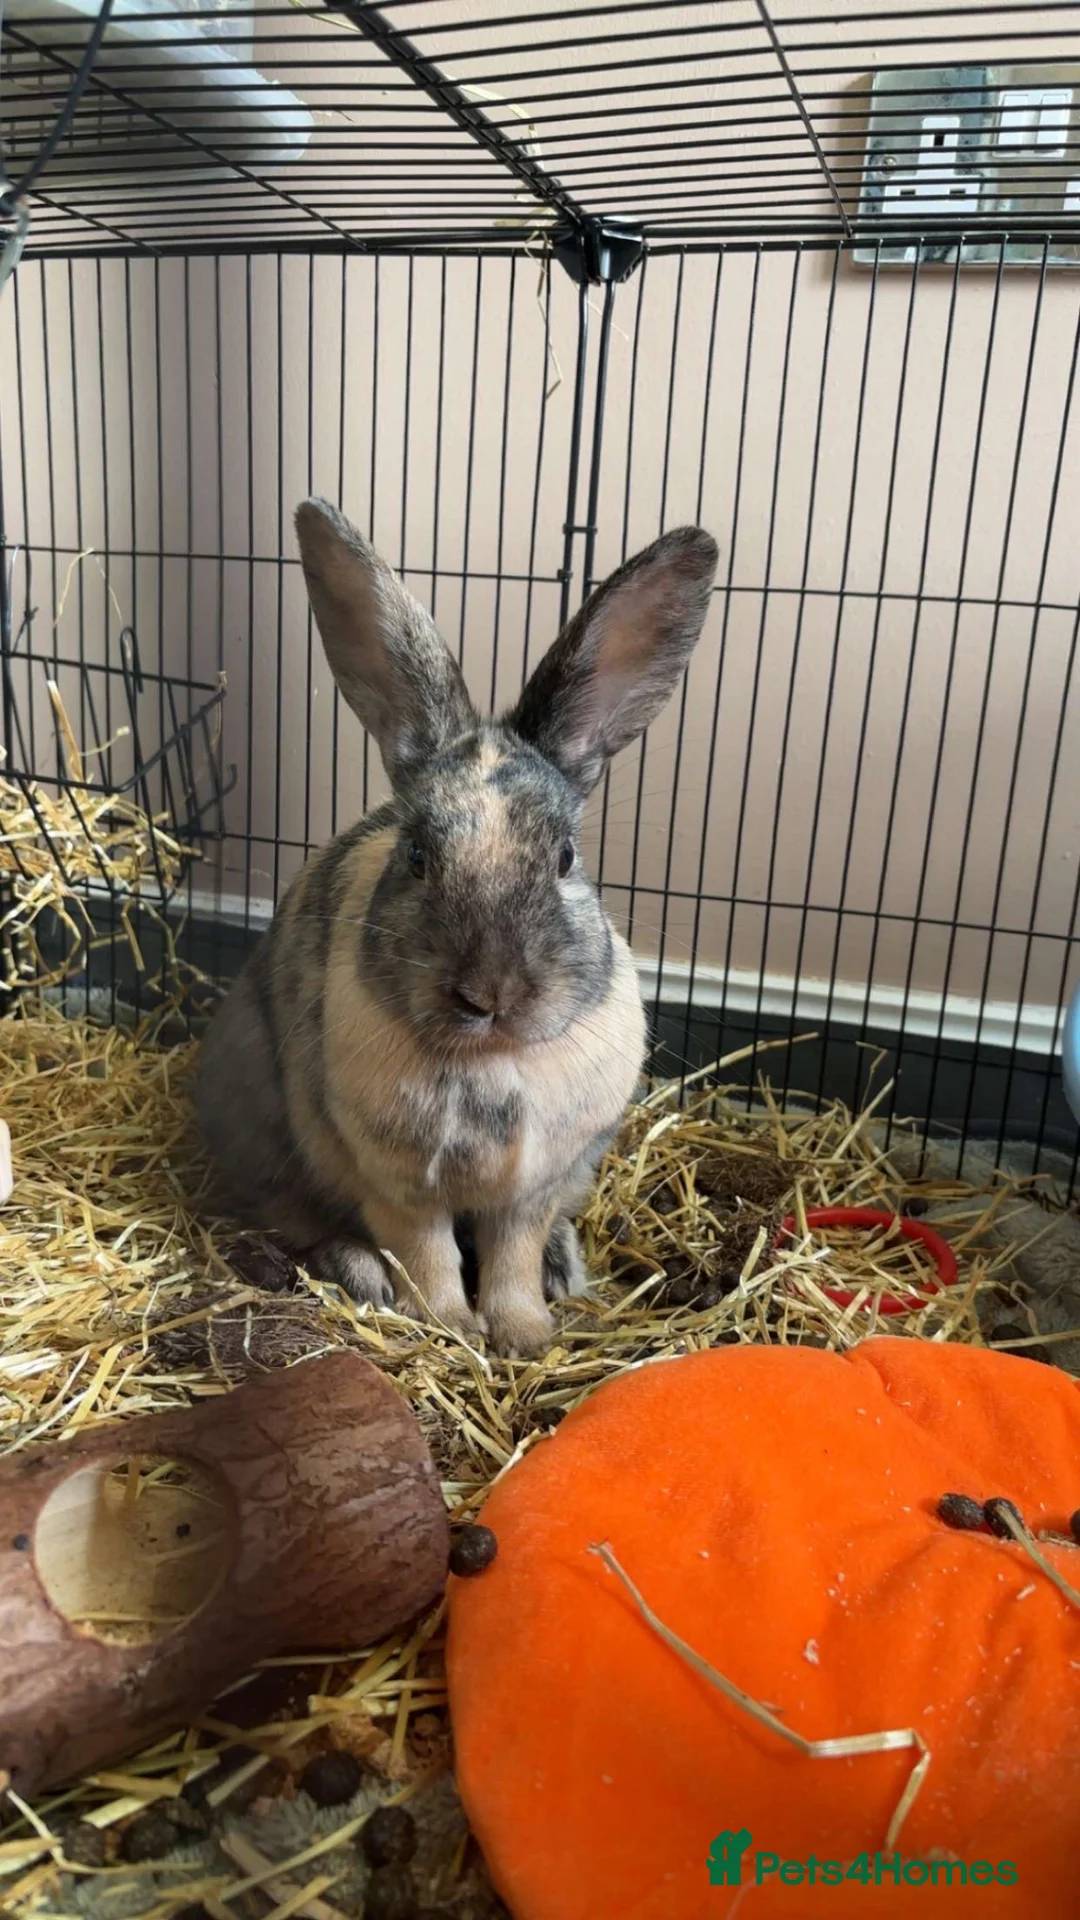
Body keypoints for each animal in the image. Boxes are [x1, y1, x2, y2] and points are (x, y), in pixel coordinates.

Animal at [196, 498, 719, 1357]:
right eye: (416, 855)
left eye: (565, 856)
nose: (489, 994)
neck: (493, 1059)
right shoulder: (397, 1182)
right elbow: (427, 1252)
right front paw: (447, 1326)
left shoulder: (531, 1188)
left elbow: (511, 1255)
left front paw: (525, 1334)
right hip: (265, 1131)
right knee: (298, 1219)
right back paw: (361, 1273)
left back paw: (563, 1271)